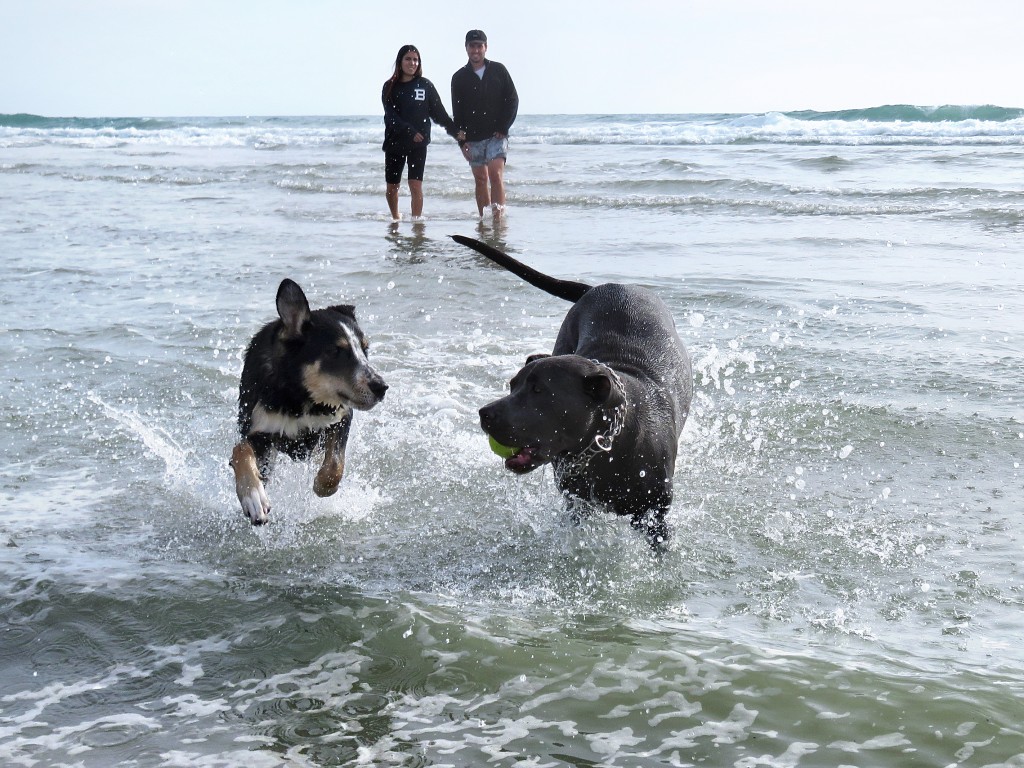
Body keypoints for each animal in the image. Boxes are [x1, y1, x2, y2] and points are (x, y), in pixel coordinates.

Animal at [232, 280, 387, 528]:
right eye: (336, 350)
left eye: (365, 349)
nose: (381, 387)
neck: (299, 397)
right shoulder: (259, 431)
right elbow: (240, 450)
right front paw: (253, 497)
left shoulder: (341, 416)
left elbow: (335, 463)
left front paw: (322, 485)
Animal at [456, 234, 696, 548]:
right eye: (512, 385)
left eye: (539, 390)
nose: (485, 413)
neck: (610, 441)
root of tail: (602, 287)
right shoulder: (576, 500)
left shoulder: (654, 515)